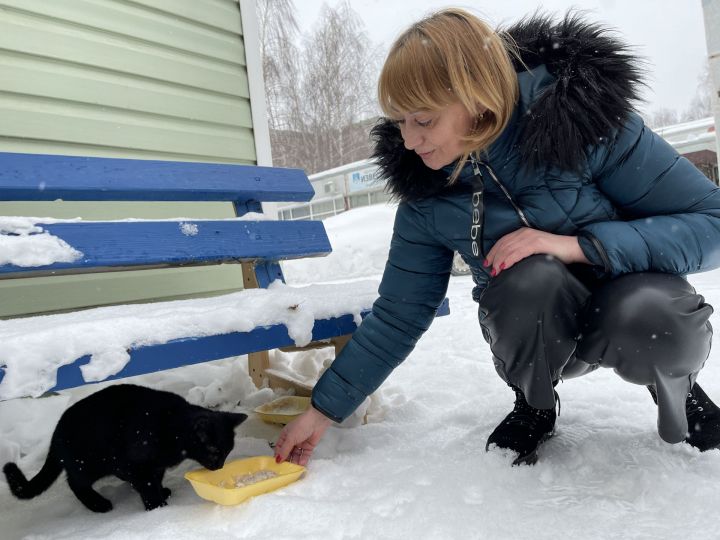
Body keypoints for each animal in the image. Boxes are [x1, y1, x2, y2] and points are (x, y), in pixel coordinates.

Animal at [2, 382, 248, 512]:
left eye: (227, 452)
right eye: (215, 452)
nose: (219, 467)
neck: (173, 429)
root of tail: (56, 432)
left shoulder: (155, 466)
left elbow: (155, 479)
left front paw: (162, 492)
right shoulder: (134, 464)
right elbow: (146, 484)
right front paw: (157, 506)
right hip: (89, 464)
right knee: (75, 483)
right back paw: (98, 504)